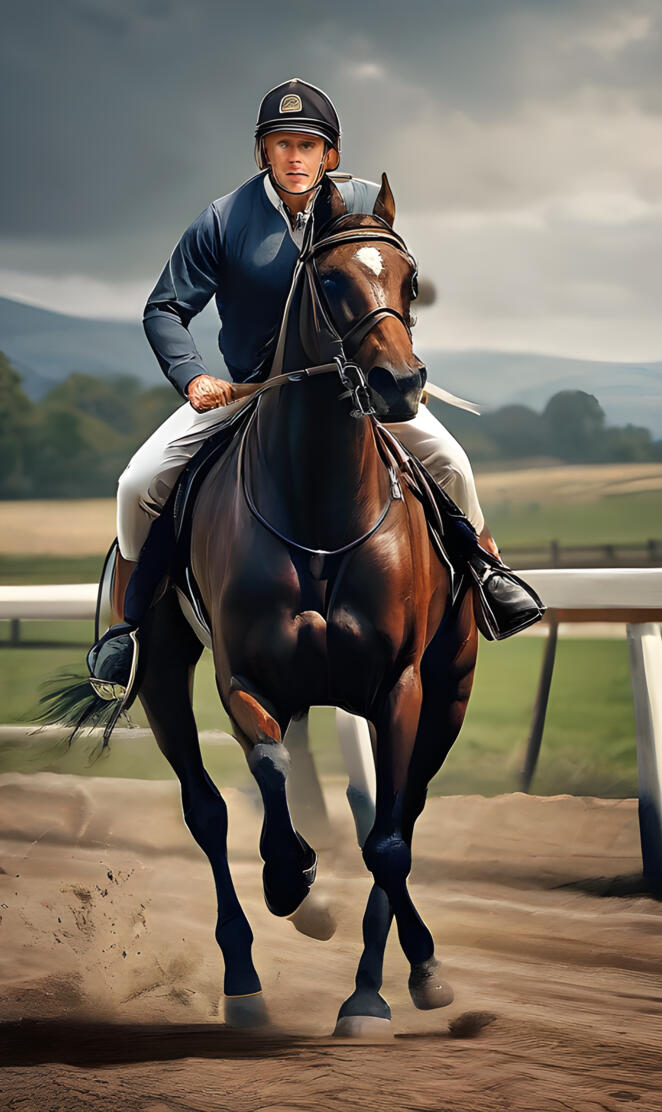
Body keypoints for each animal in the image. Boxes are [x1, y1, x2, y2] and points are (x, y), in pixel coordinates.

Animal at [136, 174, 479, 1036]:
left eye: (409, 281)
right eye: (329, 281)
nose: (400, 386)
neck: (319, 507)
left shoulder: (402, 685)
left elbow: (388, 838)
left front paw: (371, 993)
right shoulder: (245, 679)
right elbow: (269, 773)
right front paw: (294, 882)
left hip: (452, 686)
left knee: (404, 813)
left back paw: (420, 961)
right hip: (160, 675)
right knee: (207, 812)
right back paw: (244, 978)